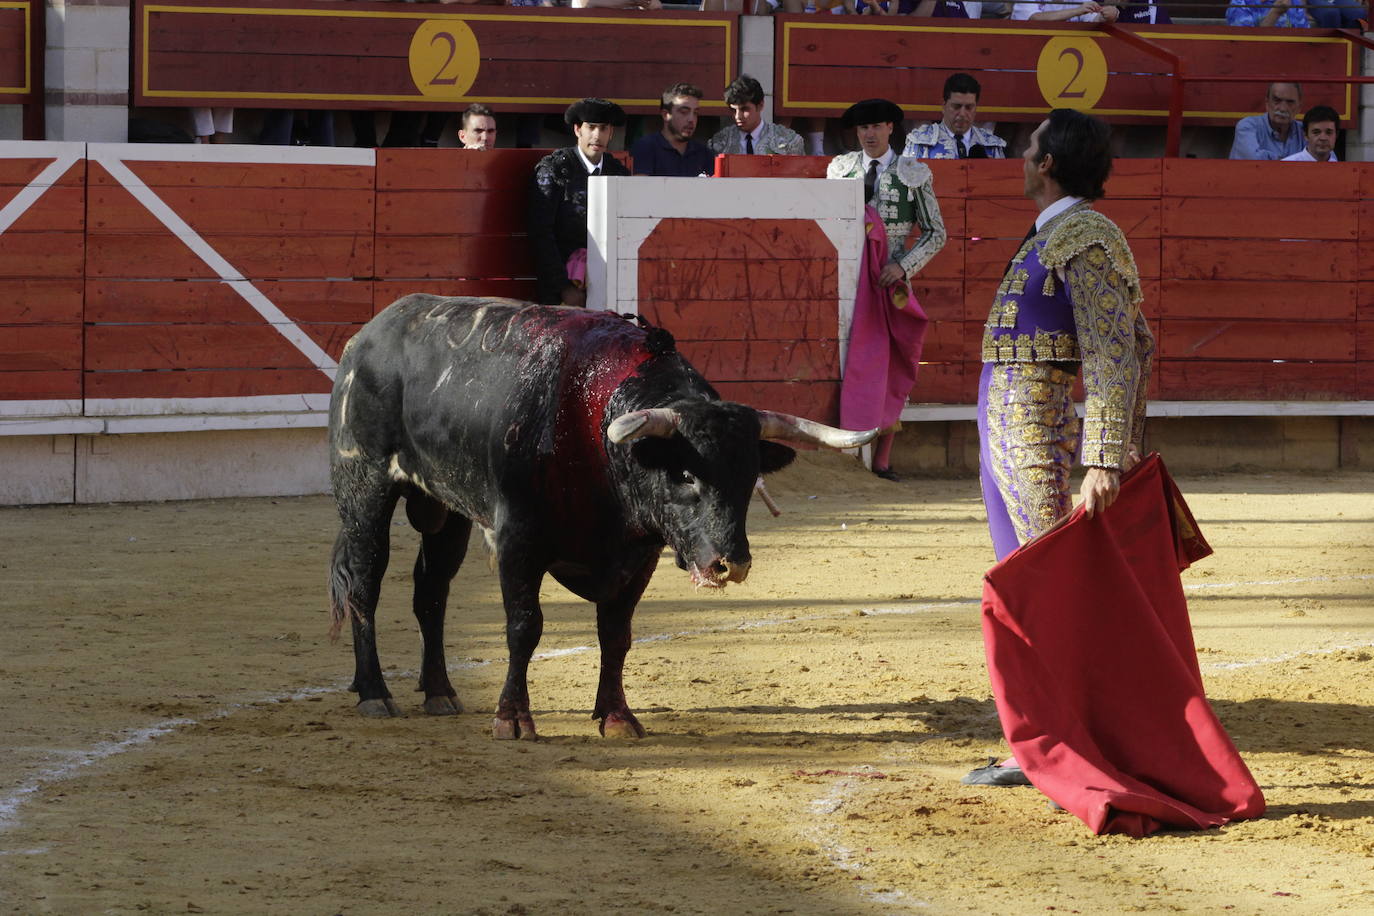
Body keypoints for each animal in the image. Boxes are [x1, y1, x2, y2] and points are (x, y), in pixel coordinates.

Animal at [327, 298, 873, 741]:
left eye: (748, 480)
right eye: (684, 474)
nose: (729, 564)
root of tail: (368, 335)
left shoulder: (638, 555)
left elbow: (616, 633)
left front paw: (617, 717)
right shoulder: (516, 540)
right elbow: (524, 626)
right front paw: (512, 719)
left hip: (445, 508)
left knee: (431, 591)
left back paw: (440, 691)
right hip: (365, 486)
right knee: (365, 583)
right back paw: (375, 693)